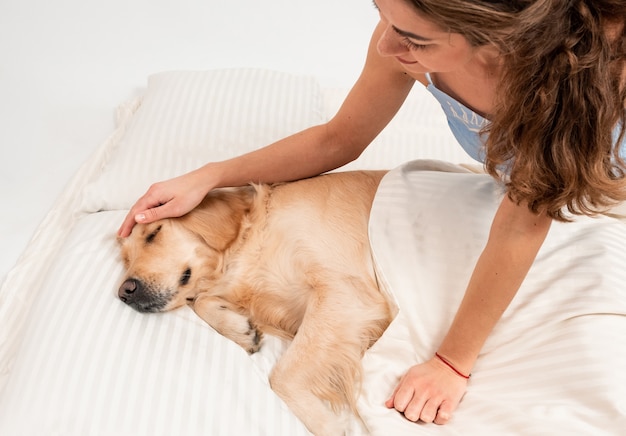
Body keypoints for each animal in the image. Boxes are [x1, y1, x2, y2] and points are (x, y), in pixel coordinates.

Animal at [117, 171, 390, 436]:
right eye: (126, 258)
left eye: (154, 233)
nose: (124, 292)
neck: (254, 235)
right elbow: (202, 301)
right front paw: (240, 330)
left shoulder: (343, 290)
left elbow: (281, 375)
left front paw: (326, 424)